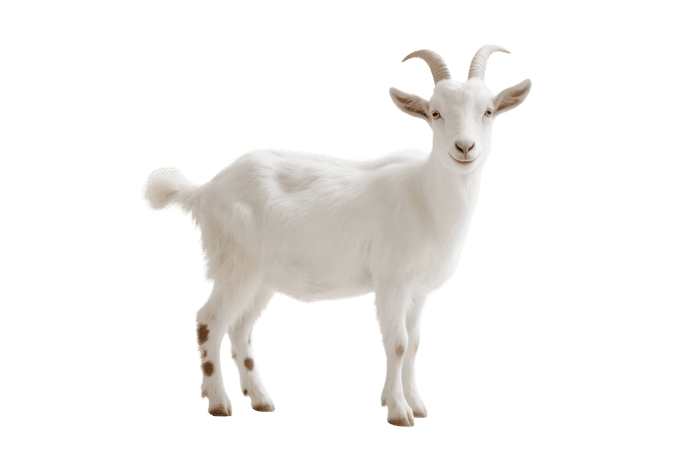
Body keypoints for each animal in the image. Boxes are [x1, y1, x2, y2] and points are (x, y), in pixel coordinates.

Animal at [141, 44, 532, 427]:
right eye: (435, 113)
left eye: (488, 111)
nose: (464, 148)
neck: (424, 196)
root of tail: (205, 190)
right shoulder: (391, 282)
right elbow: (397, 343)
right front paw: (399, 412)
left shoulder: (418, 291)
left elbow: (415, 343)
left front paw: (415, 404)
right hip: (236, 266)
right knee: (208, 322)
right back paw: (219, 403)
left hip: (262, 279)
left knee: (240, 330)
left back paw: (261, 400)